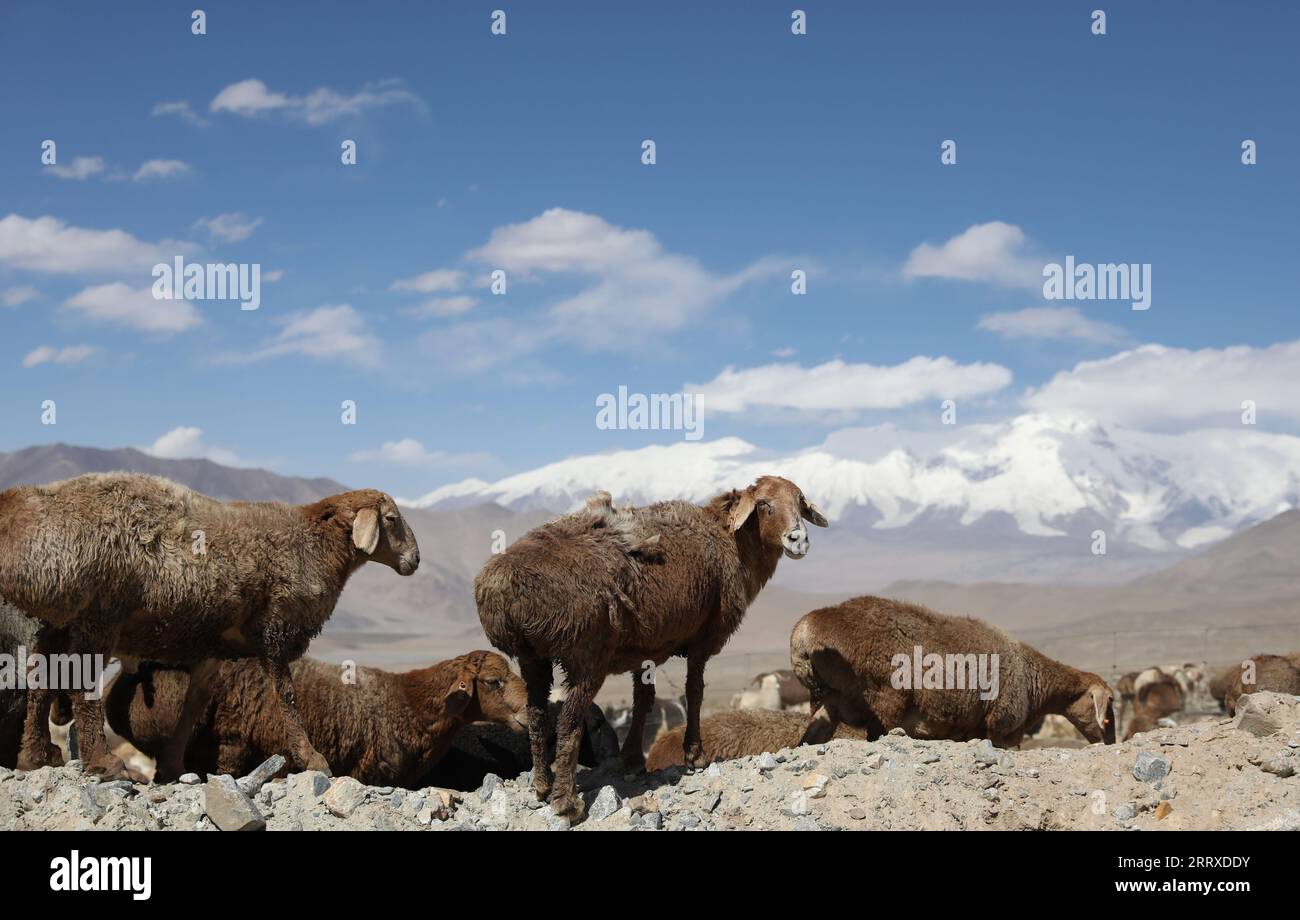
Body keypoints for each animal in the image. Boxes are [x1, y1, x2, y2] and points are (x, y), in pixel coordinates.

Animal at [0, 470, 418, 779]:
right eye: (392, 519)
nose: (414, 560)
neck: (315, 543)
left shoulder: (211, 642)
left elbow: (195, 703)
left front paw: (171, 766)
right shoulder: (275, 628)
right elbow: (286, 696)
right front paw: (313, 759)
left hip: (56, 622)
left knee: (40, 684)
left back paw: (35, 756)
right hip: (99, 615)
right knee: (80, 688)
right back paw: (103, 764)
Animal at [475, 475, 821, 821]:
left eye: (800, 502)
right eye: (763, 504)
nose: (798, 539)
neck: (730, 541)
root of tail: (500, 586)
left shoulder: (644, 652)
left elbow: (643, 700)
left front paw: (632, 761)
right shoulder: (702, 640)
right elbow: (695, 691)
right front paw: (695, 755)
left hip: (531, 657)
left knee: (536, 715)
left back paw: (542, 785)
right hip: (587, 656)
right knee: (569, 722)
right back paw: (566, 801)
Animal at [790, 597, 1118, 748]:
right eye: (1108, 706)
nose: (1109, 742)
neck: (1033, 679)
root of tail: (804, 633)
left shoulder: (970, 731)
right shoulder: (999, 726)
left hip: (830, 700)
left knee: (809, 738)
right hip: (885, 698)